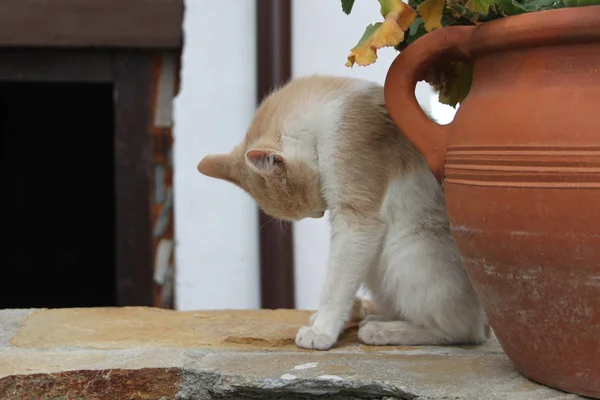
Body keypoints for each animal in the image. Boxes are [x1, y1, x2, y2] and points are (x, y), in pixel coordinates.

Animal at [197, 75, 488, 350]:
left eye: (306, 204)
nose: (318, 214)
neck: (329, 109)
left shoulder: (356, 218)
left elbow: (335, 284)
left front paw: (322, 330)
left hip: (408, 251)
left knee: (462, 330)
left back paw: (387, 331)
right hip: (378, 266)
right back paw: (377, 317)